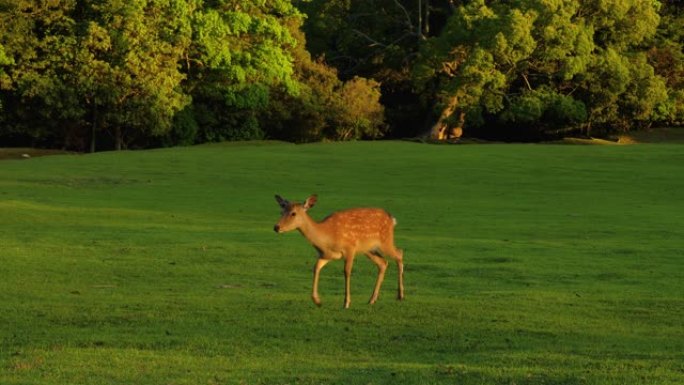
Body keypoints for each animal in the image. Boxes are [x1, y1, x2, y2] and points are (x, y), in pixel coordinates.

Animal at [272, 194, 404, 308]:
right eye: (281, 212)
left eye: (293, 213)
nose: (276, 227)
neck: (327, 237)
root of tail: (392, 219)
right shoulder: (326, 255)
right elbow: (316, 268)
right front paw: (317, 300)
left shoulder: (350, 248)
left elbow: (347, 272)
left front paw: (346, 303)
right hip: (368, 249)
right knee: (383, 263)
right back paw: (372, 299)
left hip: (385, 241)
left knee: (399, 253)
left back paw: (400, 295)